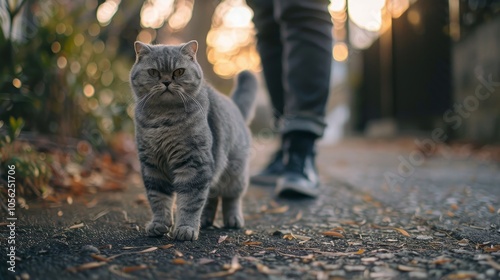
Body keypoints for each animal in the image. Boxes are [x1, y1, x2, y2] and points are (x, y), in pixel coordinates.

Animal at [129, 40, 256, 241]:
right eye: (154, 72)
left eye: (179, 72)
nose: (166, 82)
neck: (163, 119)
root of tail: (234, 106)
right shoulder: (152, 165)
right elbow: (158, 199)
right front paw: (159, 224)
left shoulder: (194, 163)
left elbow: (190, 200)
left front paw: (186, 228)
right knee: (211, 197)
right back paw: (205, 220)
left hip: (234, 173)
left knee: (231, 198)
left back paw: (233, 219)